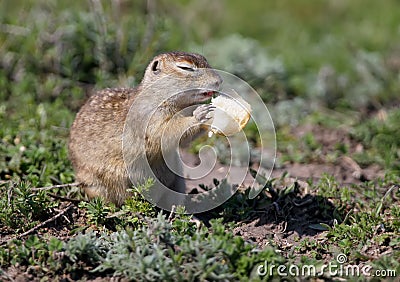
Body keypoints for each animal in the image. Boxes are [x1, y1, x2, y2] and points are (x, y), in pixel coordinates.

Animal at [69, 51, 222, 205]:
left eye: (204, 59)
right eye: (185, 67)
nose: (219, 81)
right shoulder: (148, 118)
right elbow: (168, 132)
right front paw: (201, 115)